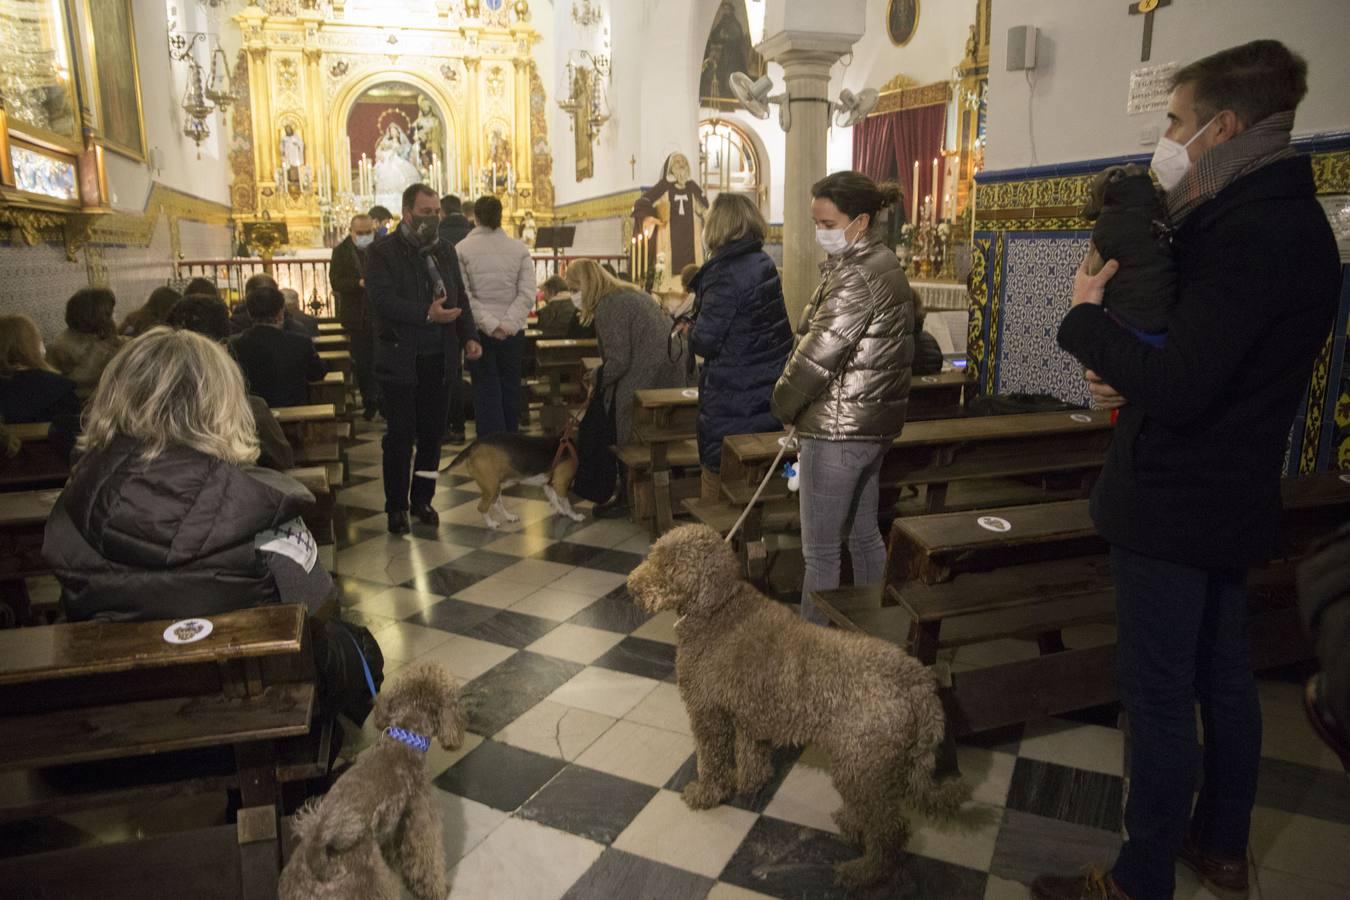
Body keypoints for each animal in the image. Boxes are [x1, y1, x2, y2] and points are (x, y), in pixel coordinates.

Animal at [276, 661, 467, 900]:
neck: (406, 737)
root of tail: (318, 859)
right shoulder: (420, 817)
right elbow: (425, 858)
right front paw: (436, 890)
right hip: (373, 882)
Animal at [448, 434, 585, 531]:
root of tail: (473, 445)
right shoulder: (561, 484)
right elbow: (567, 504)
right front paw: (575, 516)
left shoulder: (548, 484)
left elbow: (554, 500)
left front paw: (561, 510)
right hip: (491, 487)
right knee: (482, 507)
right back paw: (491, 524)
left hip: (495, 486)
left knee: (496, 504)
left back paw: (509, 517)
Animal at [626, 523, 966, 890]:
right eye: (654, 554)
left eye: (671, 567)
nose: (631, 587)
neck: (717, 609)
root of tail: (918, 680)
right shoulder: (748, 716)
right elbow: (751, 756)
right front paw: (750, 783)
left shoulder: (707, 715)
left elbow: (711, 762)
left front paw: (706, 794)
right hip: (869, 767)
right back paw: (853, 824)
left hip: (860, 764)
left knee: (890, 829)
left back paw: (865, 871)